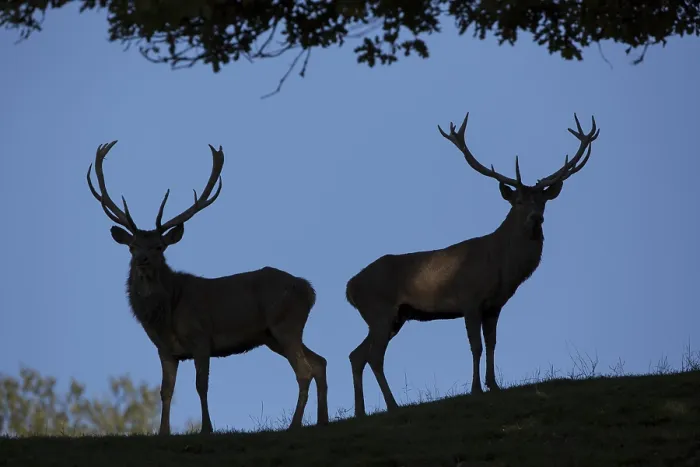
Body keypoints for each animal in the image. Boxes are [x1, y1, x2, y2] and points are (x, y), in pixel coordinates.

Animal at [86, 141, 329, 434]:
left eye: (159, 246)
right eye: (133, 246)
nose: (142, 259)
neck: (166, 314)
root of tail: (309, 289)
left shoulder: (201, 337)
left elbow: (201, 386)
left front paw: (206, 428)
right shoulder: (165, 350)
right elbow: (165, 391)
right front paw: (163, 432)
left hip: (285, 324)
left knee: (304, 371)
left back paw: (295, 425)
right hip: (273, 335)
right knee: (319, 362)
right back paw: (322, 420)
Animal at [345, 112, 599, 417]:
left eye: (543, 201)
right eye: (518, 201)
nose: (536, 218)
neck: (500, 266)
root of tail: (349, 287)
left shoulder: (494, 305)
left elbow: (491, 344)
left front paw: (494, 385)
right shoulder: (469, 299)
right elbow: (475, 346)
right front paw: (476, 389)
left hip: (394, 317)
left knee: (356, 354)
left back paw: (360, 411)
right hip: (380, 310)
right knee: (374, 356)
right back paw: (393, 405)